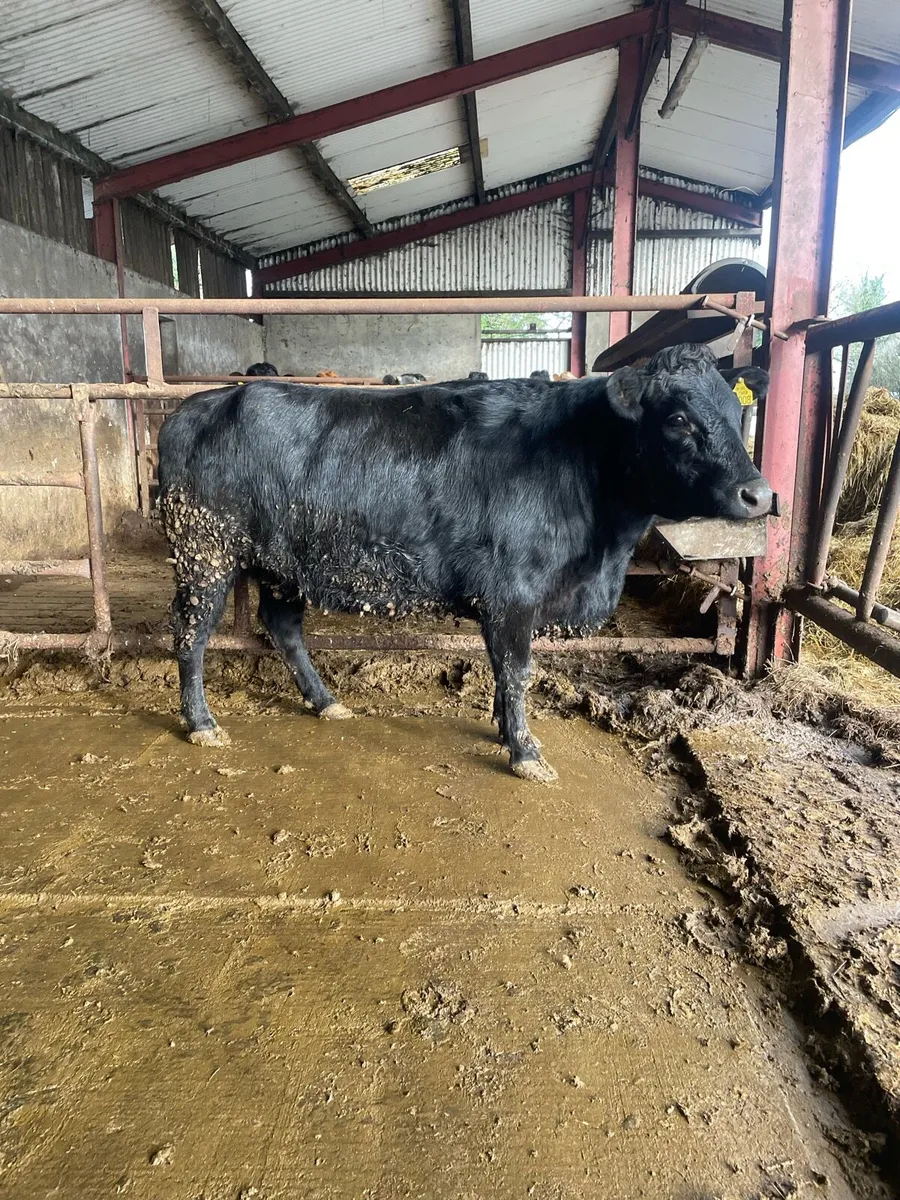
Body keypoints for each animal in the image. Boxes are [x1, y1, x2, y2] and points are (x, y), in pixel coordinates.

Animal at [157, 343, 771, 782]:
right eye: (678, 418)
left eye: (735, 408)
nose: (759, 494)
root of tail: (198, 405)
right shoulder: (512, 594)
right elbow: (518, 670)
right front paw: (525, 752)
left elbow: (505, 675)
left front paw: (503, 730)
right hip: (204, 553)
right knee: (191, 633)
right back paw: (202, 722)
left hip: (282, 564)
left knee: (283, 627)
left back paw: (326, 702)